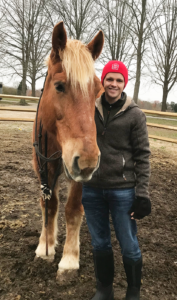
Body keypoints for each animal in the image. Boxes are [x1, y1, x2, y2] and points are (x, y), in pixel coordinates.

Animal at [32, 21, 103, 282]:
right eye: (59, 86)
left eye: (98, 90)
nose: (89, 161)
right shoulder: (43, 167)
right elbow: (49, 204)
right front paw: (45, 248)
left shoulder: (79, 173)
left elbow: (72, 210)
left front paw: (69, 260)